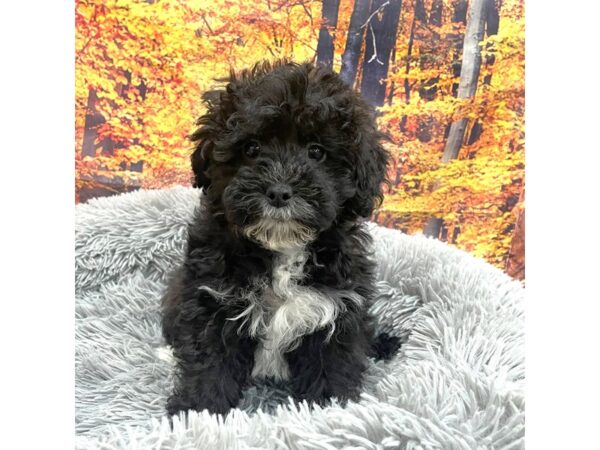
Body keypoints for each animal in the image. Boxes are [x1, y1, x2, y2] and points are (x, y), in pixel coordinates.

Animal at [162, 59, 392, 414]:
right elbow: (209, 363)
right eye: (251, 148)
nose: (280, 191)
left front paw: (331, 412)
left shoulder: (338, 310)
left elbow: (331, 366)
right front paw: (196, 411)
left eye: (316, 152)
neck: (282, 248)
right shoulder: (211, 302)